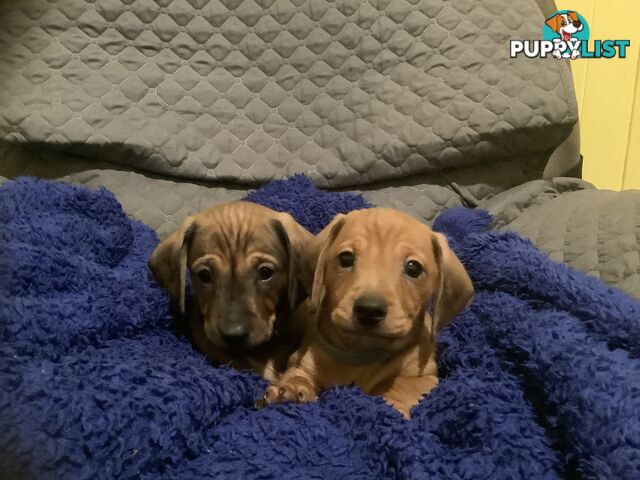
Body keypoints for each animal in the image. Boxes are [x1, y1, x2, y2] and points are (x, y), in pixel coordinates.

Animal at [260, 208, 476, 418]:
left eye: (413, 268)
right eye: (346, 258)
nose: (369, 310)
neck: (359, 355)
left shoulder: (426, 377)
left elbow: (403, 385)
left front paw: (389, 405)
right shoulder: (301, 361)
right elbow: (297, 375)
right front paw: (291, 390)